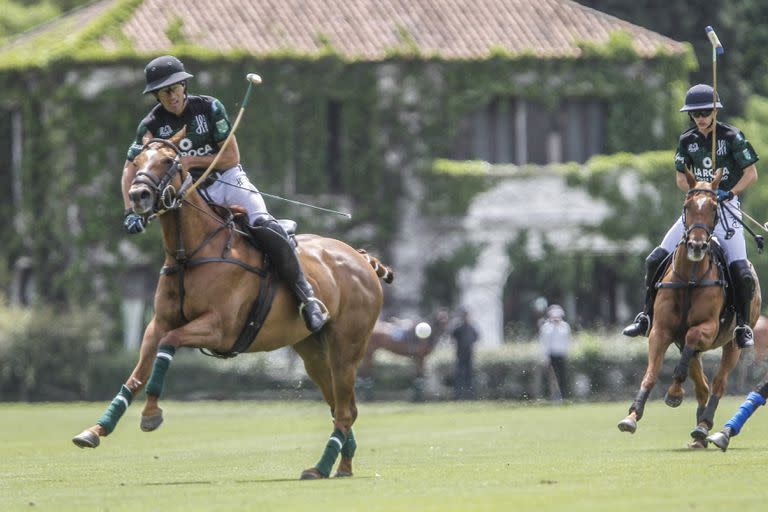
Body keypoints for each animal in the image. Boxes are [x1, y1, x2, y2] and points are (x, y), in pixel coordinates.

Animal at [71, 129, 392, 480]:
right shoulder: (159, 323)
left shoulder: (220, 329)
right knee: (341, 407)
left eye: (169, 161)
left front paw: (151, 413)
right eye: (136, 161)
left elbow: (169, 344)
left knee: (345, 410)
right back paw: (343, 465)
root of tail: (360, 257)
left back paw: (320, 467)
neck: (190, 253)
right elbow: (137, 373)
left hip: (347, 348)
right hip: (313, 351)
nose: (138, 195)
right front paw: (96, 430)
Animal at [616, 169, 760, 448]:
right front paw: (631, 416)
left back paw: (704, 426)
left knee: (718, 383)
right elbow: (651, 372)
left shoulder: (708, 327)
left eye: (714, 207)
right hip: (685, 344)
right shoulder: (661, 330)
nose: (696, 245)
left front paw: (674, 393)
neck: (690, 278)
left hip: (732, 344)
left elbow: (693, 338)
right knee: (702, 385)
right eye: (687, 206)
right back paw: (700, 431)